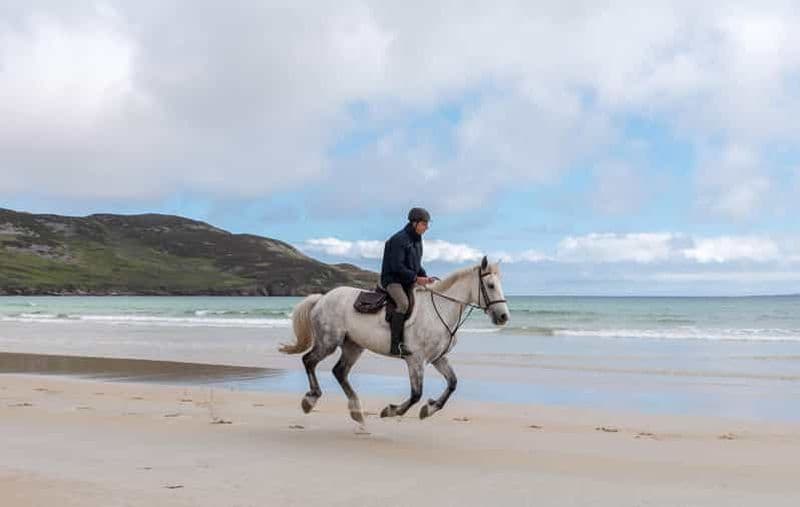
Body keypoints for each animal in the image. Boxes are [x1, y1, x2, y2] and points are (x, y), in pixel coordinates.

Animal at [279, 256, 510, 423]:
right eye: (490, 285)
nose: (504, 317)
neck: (439, 311)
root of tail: (322, 298)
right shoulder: (415, 360)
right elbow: (416, 394)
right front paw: (391, 410)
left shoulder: (438, 358)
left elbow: (452, 383)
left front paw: (430, 408)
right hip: (328, 342)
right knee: (309, 361)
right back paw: (311, 399)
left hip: (353, 346)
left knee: (339, 372)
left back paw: (357, 411)